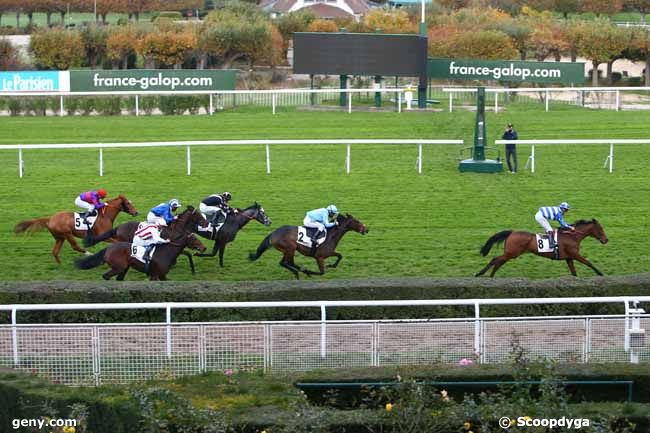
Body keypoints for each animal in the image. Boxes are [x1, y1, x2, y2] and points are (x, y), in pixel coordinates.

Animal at [73, 231, 206, 282]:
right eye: (194, 239)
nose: (204, 247)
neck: (165, 252)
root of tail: (109, 248)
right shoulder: (154, 275)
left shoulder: (162, 276)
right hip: (119, 267)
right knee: (106, 276)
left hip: (124, 268)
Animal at [474, 219, 604, 276]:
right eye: (601, 229)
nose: (606, 240)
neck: (572, 236)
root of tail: (512, 232)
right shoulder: (575, 254)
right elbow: (588, 262)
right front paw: (600, 273)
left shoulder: (569, 258)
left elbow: (574, 272)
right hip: (512, 253)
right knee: (496, 260)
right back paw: (482, 274)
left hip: (510, 253)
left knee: (498, 261)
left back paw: (489, 275)